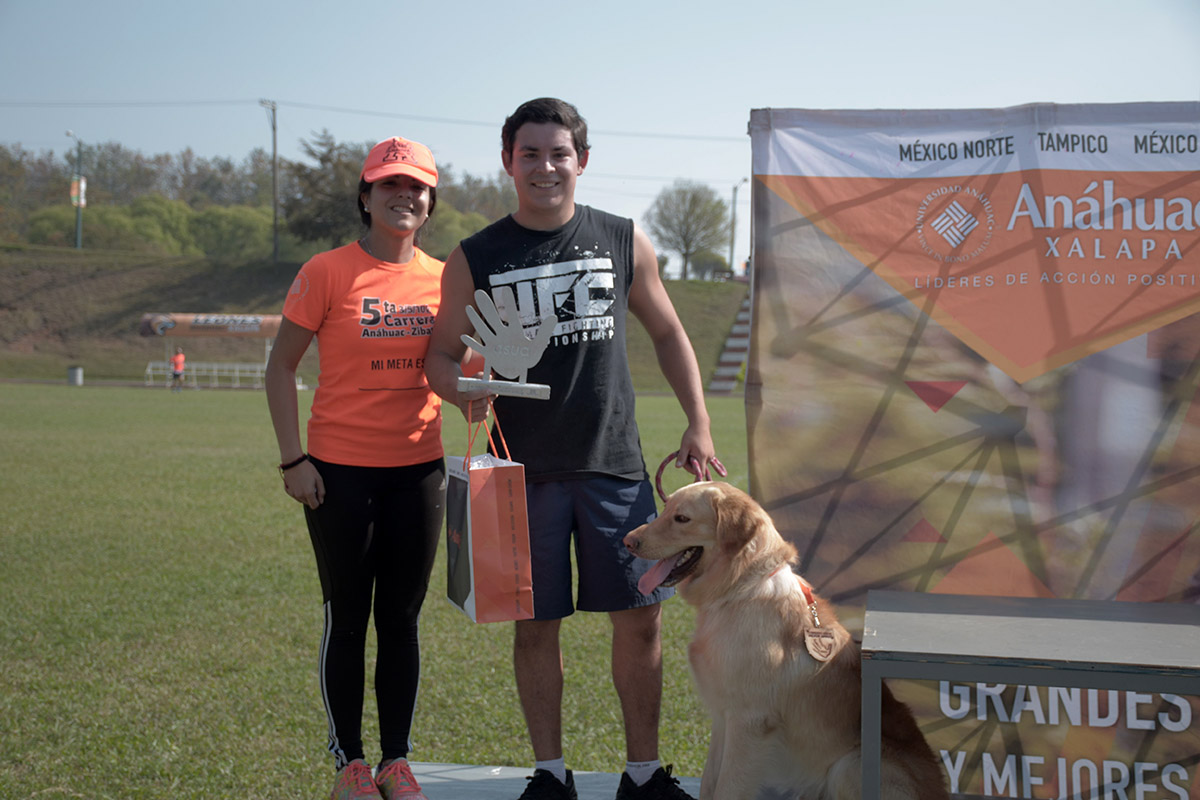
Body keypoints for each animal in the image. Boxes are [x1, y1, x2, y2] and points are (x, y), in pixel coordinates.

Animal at [628, 482, 945, 800]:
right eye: (665, 509)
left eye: (682, 518)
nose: (628, 541)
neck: (738, 590)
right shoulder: (722, 716)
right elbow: (709, 783)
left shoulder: (749, 721)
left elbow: (727, 787)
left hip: (848, 766)